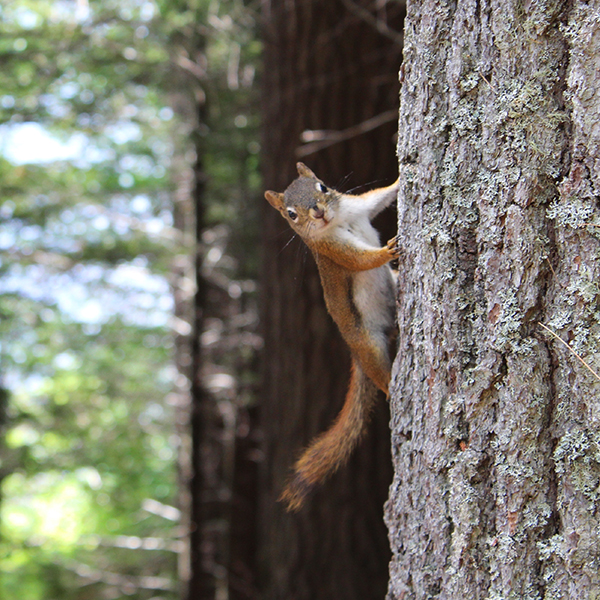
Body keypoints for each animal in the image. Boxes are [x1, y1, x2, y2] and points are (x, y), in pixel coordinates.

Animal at [264, 163, 398, 510]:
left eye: (323, 187)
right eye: (290, 215)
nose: (318, 212)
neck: (338, 220)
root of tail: (354, 353)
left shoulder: (358, 206)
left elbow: (379, 197)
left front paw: (401, 179)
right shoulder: (332, 250)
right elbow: (360, 260)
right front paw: (386, 251)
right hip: (368, 344)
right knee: (379, 374)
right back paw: (392, 389)